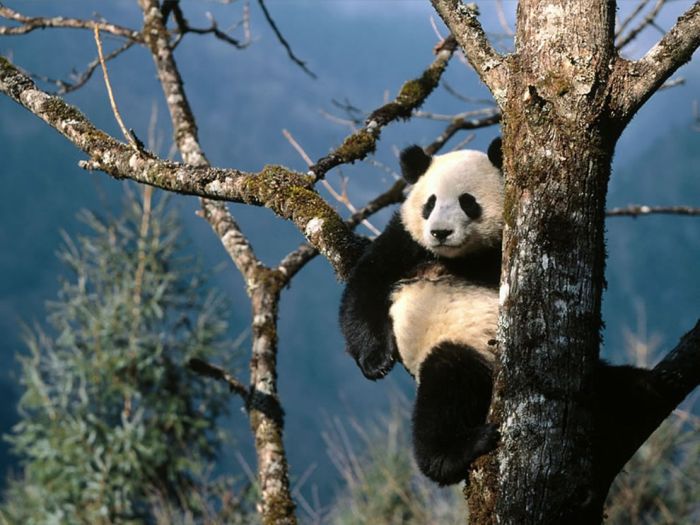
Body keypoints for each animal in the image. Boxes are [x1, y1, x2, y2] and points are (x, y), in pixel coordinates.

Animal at [338, 138, 504, 484]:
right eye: (430, 203)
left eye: (468, 202)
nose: (440, 232)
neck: (457, 257)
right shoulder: (405, 239)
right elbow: (365, 288)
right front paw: (375, 362)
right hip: (463, 347)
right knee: (447, 387)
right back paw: (454, 453)